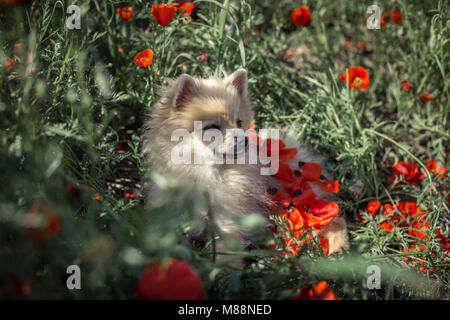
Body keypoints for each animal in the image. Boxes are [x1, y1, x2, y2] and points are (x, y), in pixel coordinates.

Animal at [141, 69, 348, 255]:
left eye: (239, 122)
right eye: (212, 127)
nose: (244, 139)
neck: (209, 176)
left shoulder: (230, 227)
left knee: (333, 221)